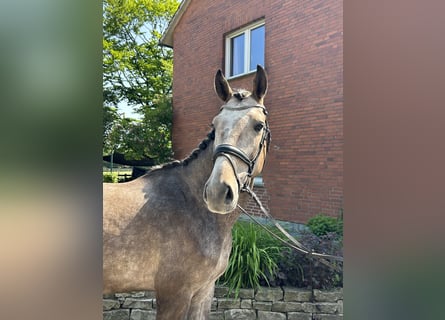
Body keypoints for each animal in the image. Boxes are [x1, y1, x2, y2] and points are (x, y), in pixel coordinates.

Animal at [103, 65, 270, 320]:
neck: (190, 205)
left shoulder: (204, 291)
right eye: (215, 125)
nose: (217, 192)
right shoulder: (175, 295)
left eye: (258, 125)